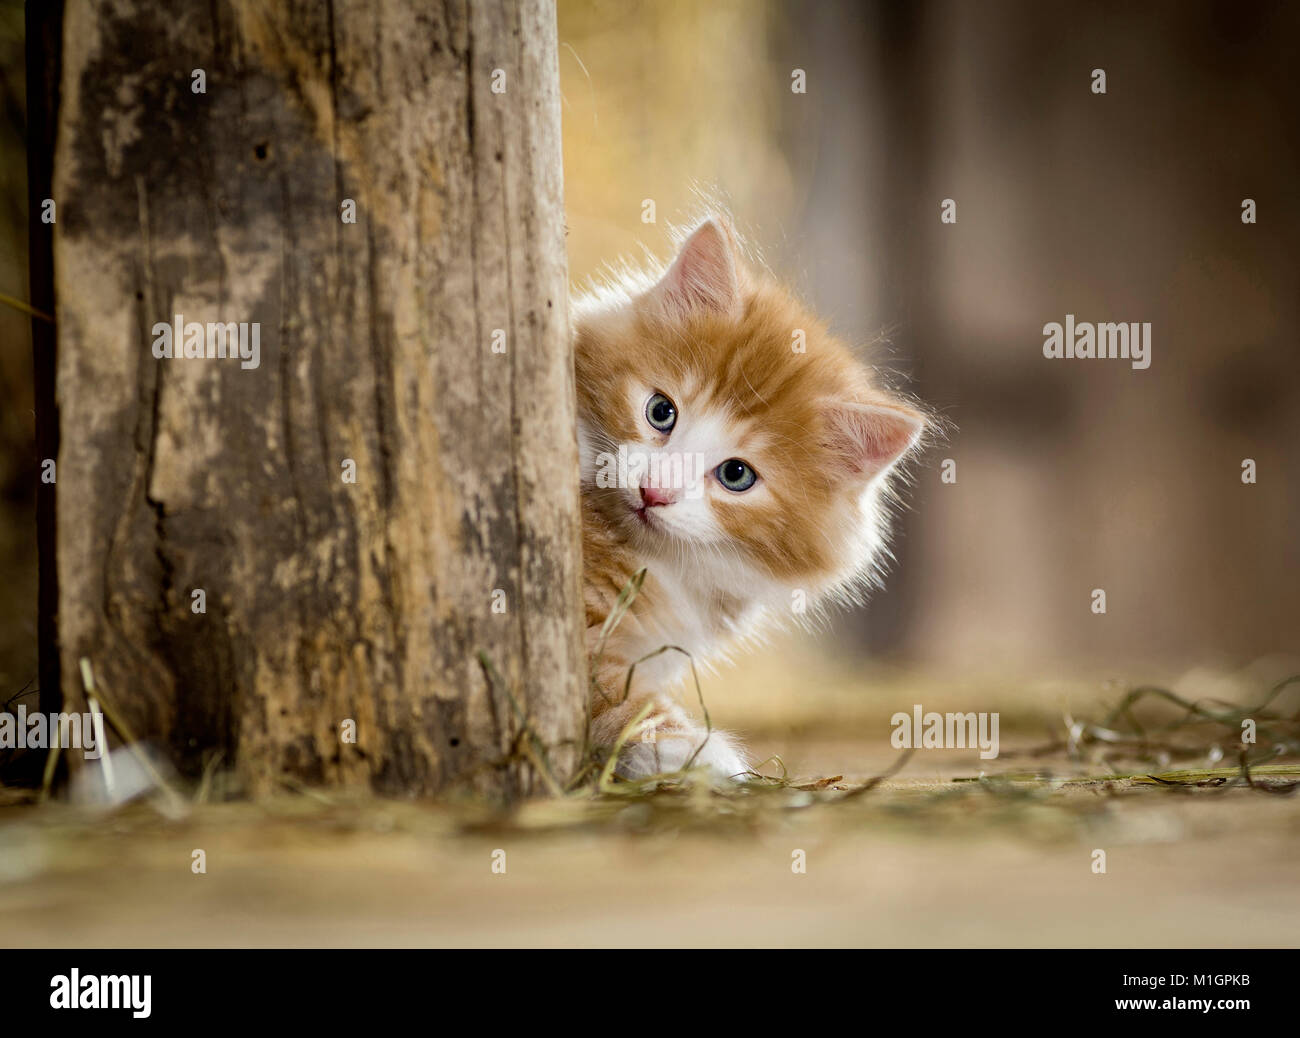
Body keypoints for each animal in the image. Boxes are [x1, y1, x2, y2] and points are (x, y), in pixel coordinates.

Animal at [572, 221, 925, 790]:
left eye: (736, 475)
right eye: (660, 411)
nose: (655, 491)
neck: (657, 561)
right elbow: (605, 686)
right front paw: (693, 749)